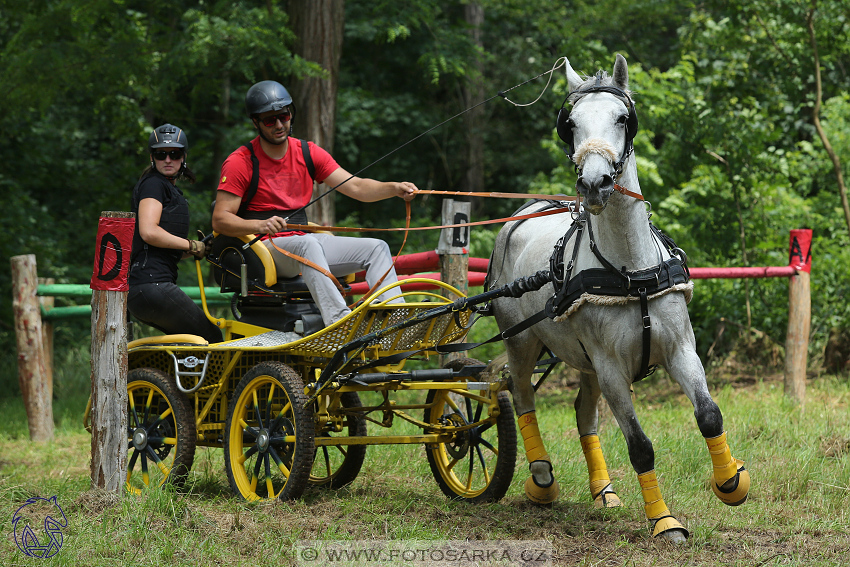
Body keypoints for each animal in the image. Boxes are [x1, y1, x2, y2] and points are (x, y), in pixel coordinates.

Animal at [490, 55, 748, 544]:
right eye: (570, 124)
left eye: (623, 119)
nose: (595, 183)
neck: (631, 272)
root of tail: (523, 213)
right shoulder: (611, 368)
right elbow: (640, 446)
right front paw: (664, 521)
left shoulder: (681, 349)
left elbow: (709, 415)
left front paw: (730, 482)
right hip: (523, 343)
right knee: (522, 396)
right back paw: (541, 478)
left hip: (585, 361)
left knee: (582, 414)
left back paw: (603, 491)